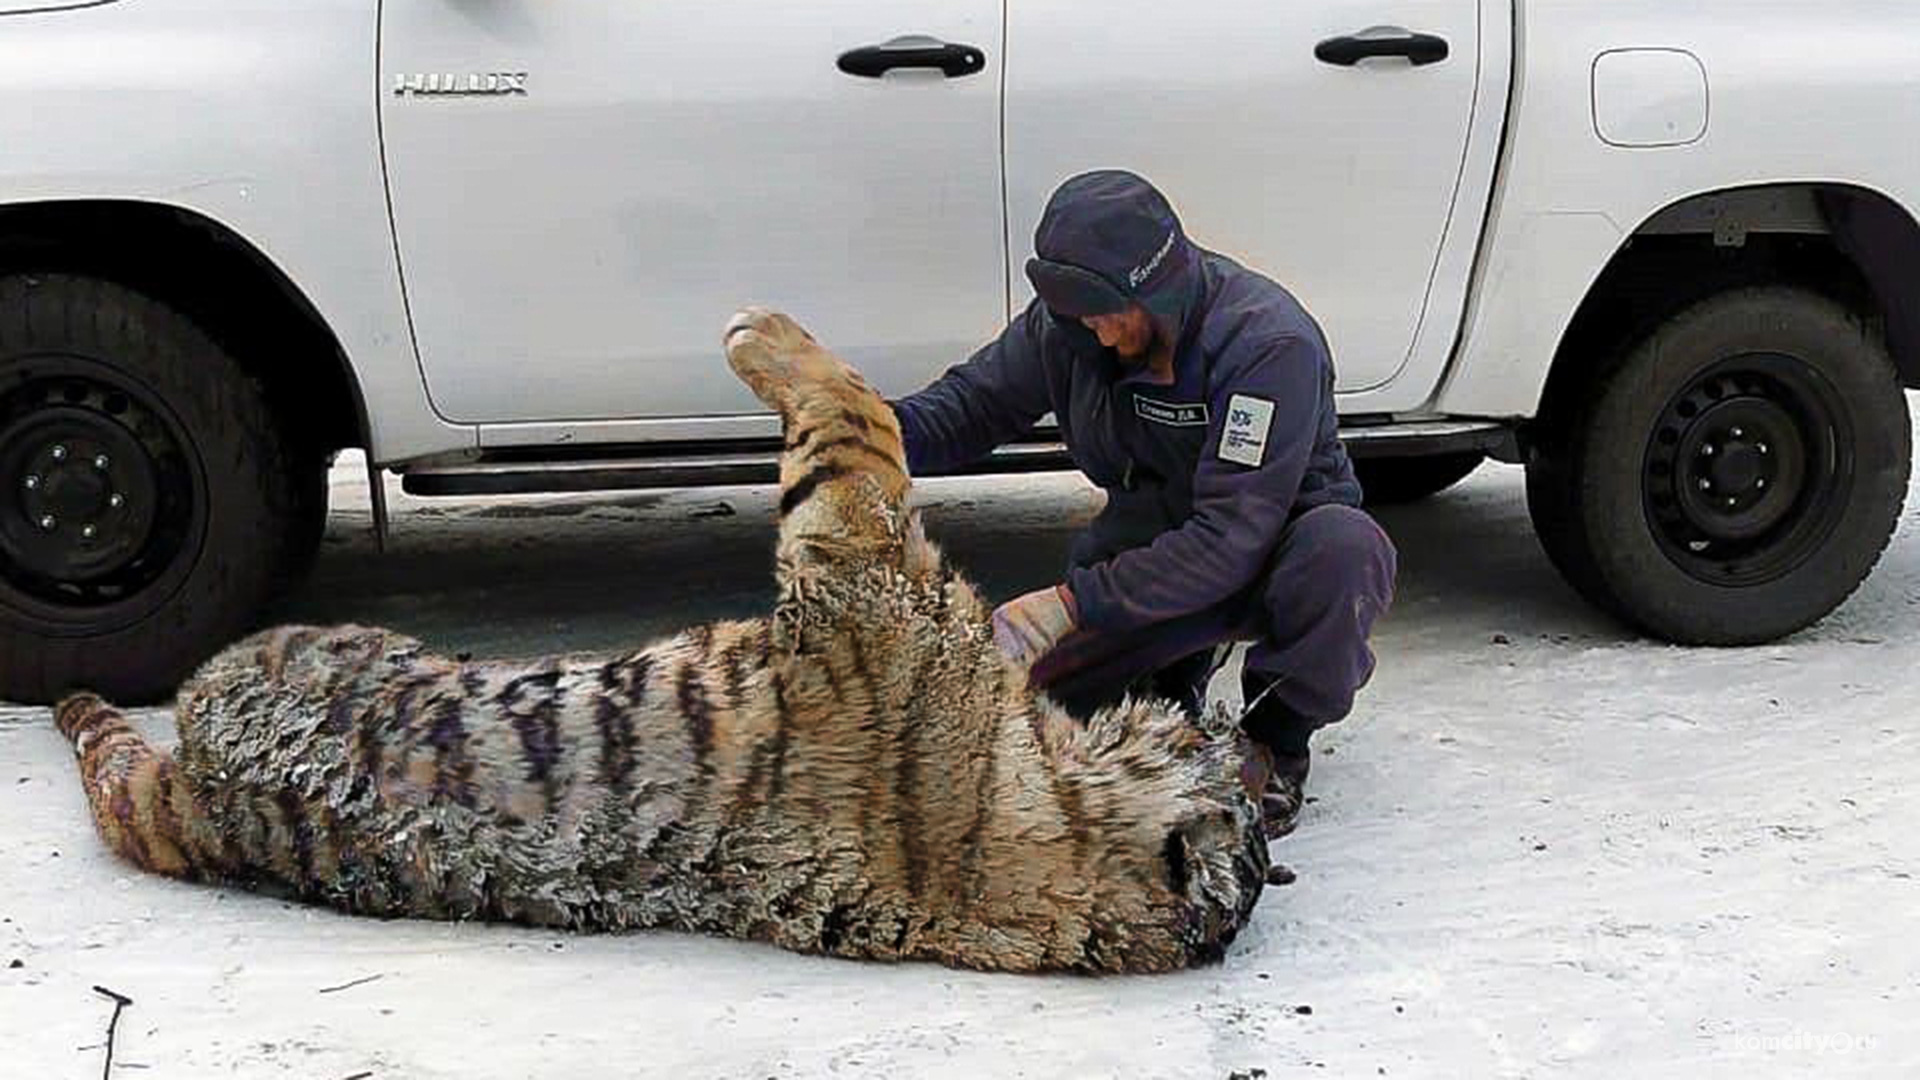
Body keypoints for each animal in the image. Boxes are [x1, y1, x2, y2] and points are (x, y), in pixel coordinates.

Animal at [52, 307, 1267, 972]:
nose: (1236, 714)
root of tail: (212, 762)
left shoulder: (860, 559)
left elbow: (857, 416)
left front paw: (760, 332)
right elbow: (876, 419)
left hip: (297, 661)